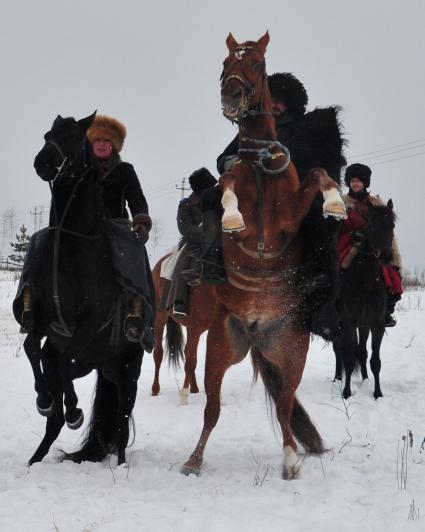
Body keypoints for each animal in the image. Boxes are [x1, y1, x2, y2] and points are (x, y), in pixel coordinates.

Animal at [17, 113, 152, 466]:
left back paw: (120, 465)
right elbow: (31, 347)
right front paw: (44, 399)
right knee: (54, 419)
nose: (43, 162)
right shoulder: (43, 319)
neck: (71, 247)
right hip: (101, 368)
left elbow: (67, 363)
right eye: (47, 135)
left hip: (126, 373)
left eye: (77, 139)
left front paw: (75, 411)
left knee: (120, 423)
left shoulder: (91, 321)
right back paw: (35, 459)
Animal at [151, 254, 215, 404]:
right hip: (160, 317)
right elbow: (191, 361)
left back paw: (195, 388)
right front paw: (184, 398)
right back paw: (155, 389)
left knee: (187, 350)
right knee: (158, 353)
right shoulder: (195, 327)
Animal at [181, 33, 346, 482]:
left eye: (257, 64)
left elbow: (318, 174)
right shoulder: (247, 211)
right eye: (225, 63)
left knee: (287, 406)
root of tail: (256, 332)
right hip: (221, 348)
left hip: (292, 353)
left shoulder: (288, 220)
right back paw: (193, 461)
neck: (261, 164)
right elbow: (226, 184)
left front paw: (336, 204)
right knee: (212, 409)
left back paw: (290, 460)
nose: (231, 96)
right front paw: (232, 215)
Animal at [332, 200, 394, 400]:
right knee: (339, 350)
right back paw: (337, 379)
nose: (387, 257)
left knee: (362, 351)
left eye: (392, 225)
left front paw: (377, 393)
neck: (365, 283)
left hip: (364, 326)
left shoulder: (376, 325)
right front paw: (346, 392)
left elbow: (375, 360)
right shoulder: (349, 323)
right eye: (372, 225)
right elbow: (350, 359)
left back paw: (365, 379)